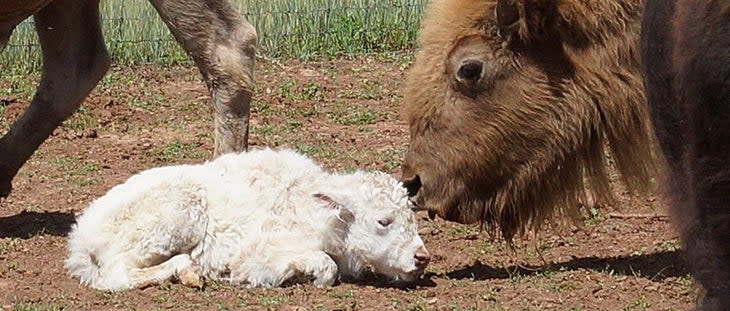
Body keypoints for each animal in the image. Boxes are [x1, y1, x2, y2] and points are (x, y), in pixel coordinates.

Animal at [65, 147, 430, 292]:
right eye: (383, 222)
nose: (422, 257)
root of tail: (80, 239)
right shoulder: (255, 254)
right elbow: (325, 267)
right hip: (172, 217)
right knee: (116, 275)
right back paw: (188, 272)